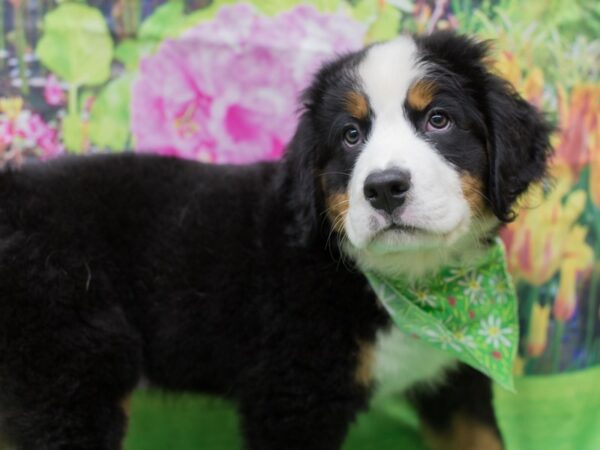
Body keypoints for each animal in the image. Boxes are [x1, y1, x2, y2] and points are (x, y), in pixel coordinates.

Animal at [0, 32, 548, 450]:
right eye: (350, 135)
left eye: (439, 119)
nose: (384, 187)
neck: (410, 281)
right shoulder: (293, 394)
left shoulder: (456, 382)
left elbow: (481, 438)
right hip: (73, 366)